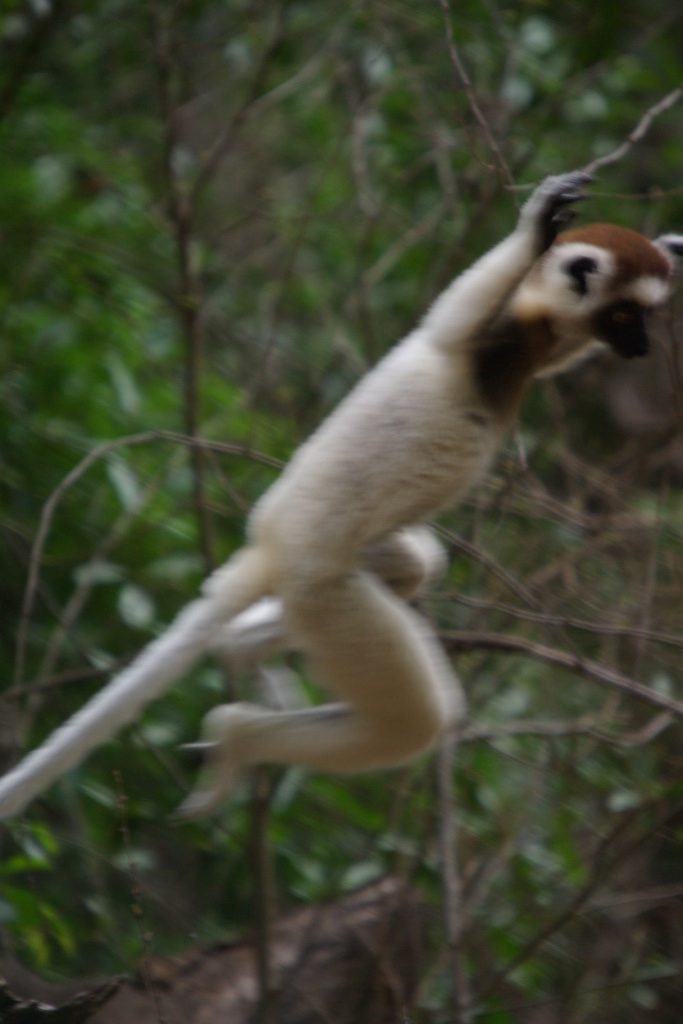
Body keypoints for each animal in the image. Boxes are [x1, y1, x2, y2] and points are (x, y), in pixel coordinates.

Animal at [0, 171, 681, 821]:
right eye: (626, 316)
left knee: (413, 566)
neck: (526, 334)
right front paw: (534, 229)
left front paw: (671, 242)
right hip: (324, 596)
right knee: (413, 718)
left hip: (333, 571)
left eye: (644, 319)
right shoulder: (488, 332)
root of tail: (270, 545)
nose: (642, 348)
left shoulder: (537, 337)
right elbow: (451, 318)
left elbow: (558, 352)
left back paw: (242, 650)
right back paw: (238, 734)